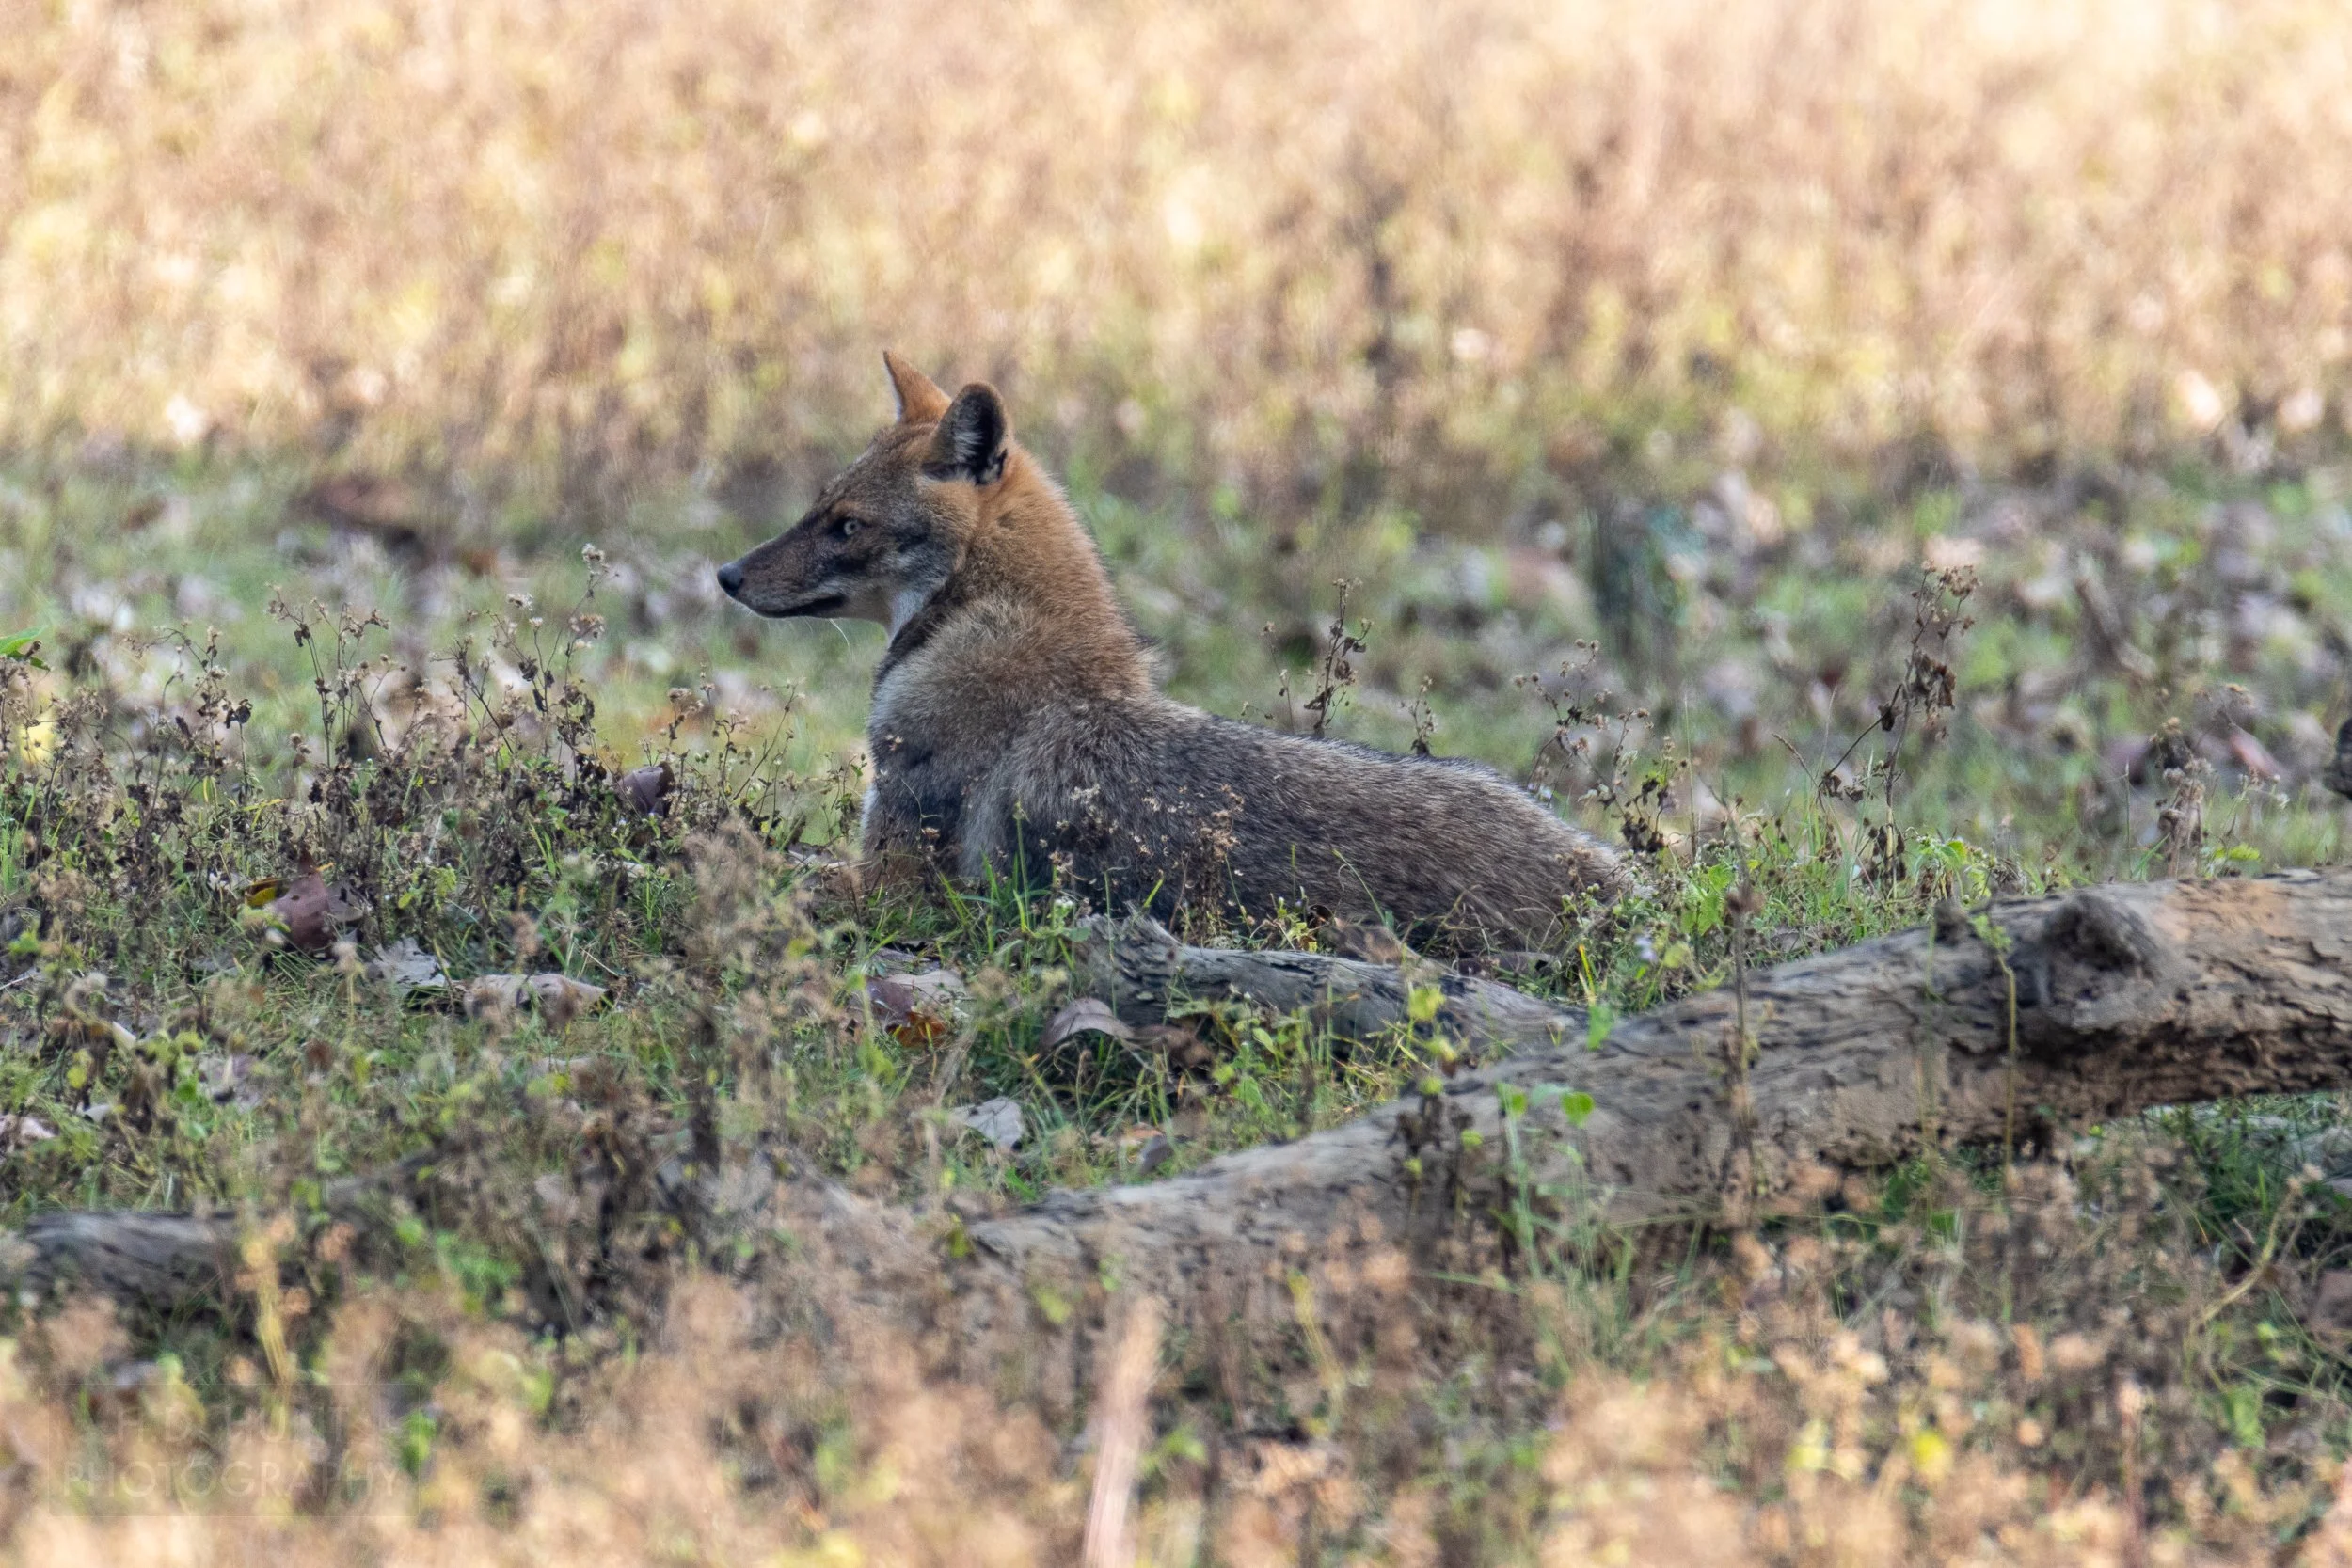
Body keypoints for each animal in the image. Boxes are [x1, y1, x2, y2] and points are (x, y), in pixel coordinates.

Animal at [717, 353, 1628, 950]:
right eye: (818, 508)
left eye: (846, 525)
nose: (726, 575)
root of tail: (1614, 884)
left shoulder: (895, 883)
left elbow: (766, 868)